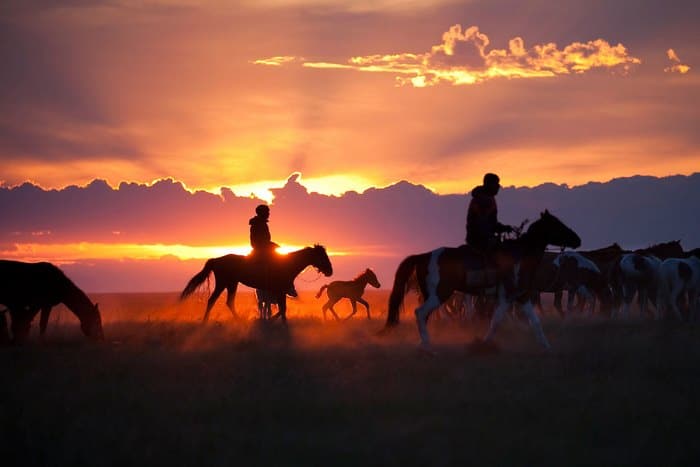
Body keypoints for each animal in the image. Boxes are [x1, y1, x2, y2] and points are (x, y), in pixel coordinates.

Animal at [180, 243, 334, 324]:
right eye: (321, 256)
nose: (330, 271)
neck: (287, 264)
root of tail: (216, 259)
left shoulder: (280, 292)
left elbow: (282, 308)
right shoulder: (279, 291)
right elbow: (282, 309)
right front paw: (276, 322)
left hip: (232, 283)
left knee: (229, 302)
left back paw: (238, 321)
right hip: (223, 283)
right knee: (212, 300)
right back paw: (205, 322)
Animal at [382, 212, 580, 352]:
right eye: (557, 224)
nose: (577, 240)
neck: (520, 255)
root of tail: (424, 255)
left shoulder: (521, 296)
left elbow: (535, 321)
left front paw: (546, 346)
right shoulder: (506, 296)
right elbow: (496, 320)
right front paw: (484, 343)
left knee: (426, 315)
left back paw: (422, 343)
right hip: (439, 293)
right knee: (420, 313)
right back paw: (427, 346)